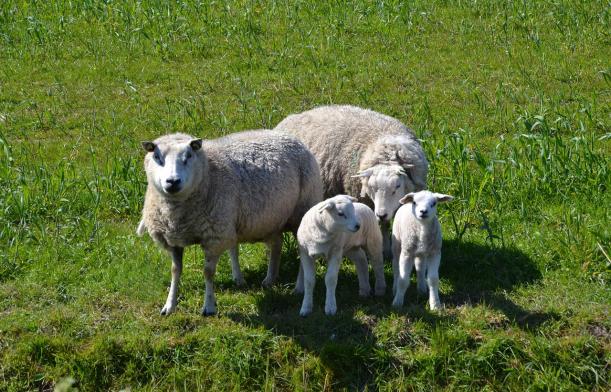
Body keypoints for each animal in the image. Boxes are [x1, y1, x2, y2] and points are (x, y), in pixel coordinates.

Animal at [136, 132, 322, 316]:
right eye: (157, 156)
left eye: (188, 156)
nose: (173, 181)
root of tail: (290, 137)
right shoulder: (173, 239)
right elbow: (175, 271)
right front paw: (169, 305)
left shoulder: (214, 237)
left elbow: (208, 272)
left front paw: (209, 306)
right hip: (272, 219)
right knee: (277, 244)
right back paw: (270, 279)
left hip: (302, 212)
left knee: (302, 253)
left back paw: (299, 287)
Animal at [274, 105, 428, 262]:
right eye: (371, 187)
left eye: (397, 186)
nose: (381, 214)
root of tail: (291, 117)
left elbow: (387, 225)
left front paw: (387, 250)